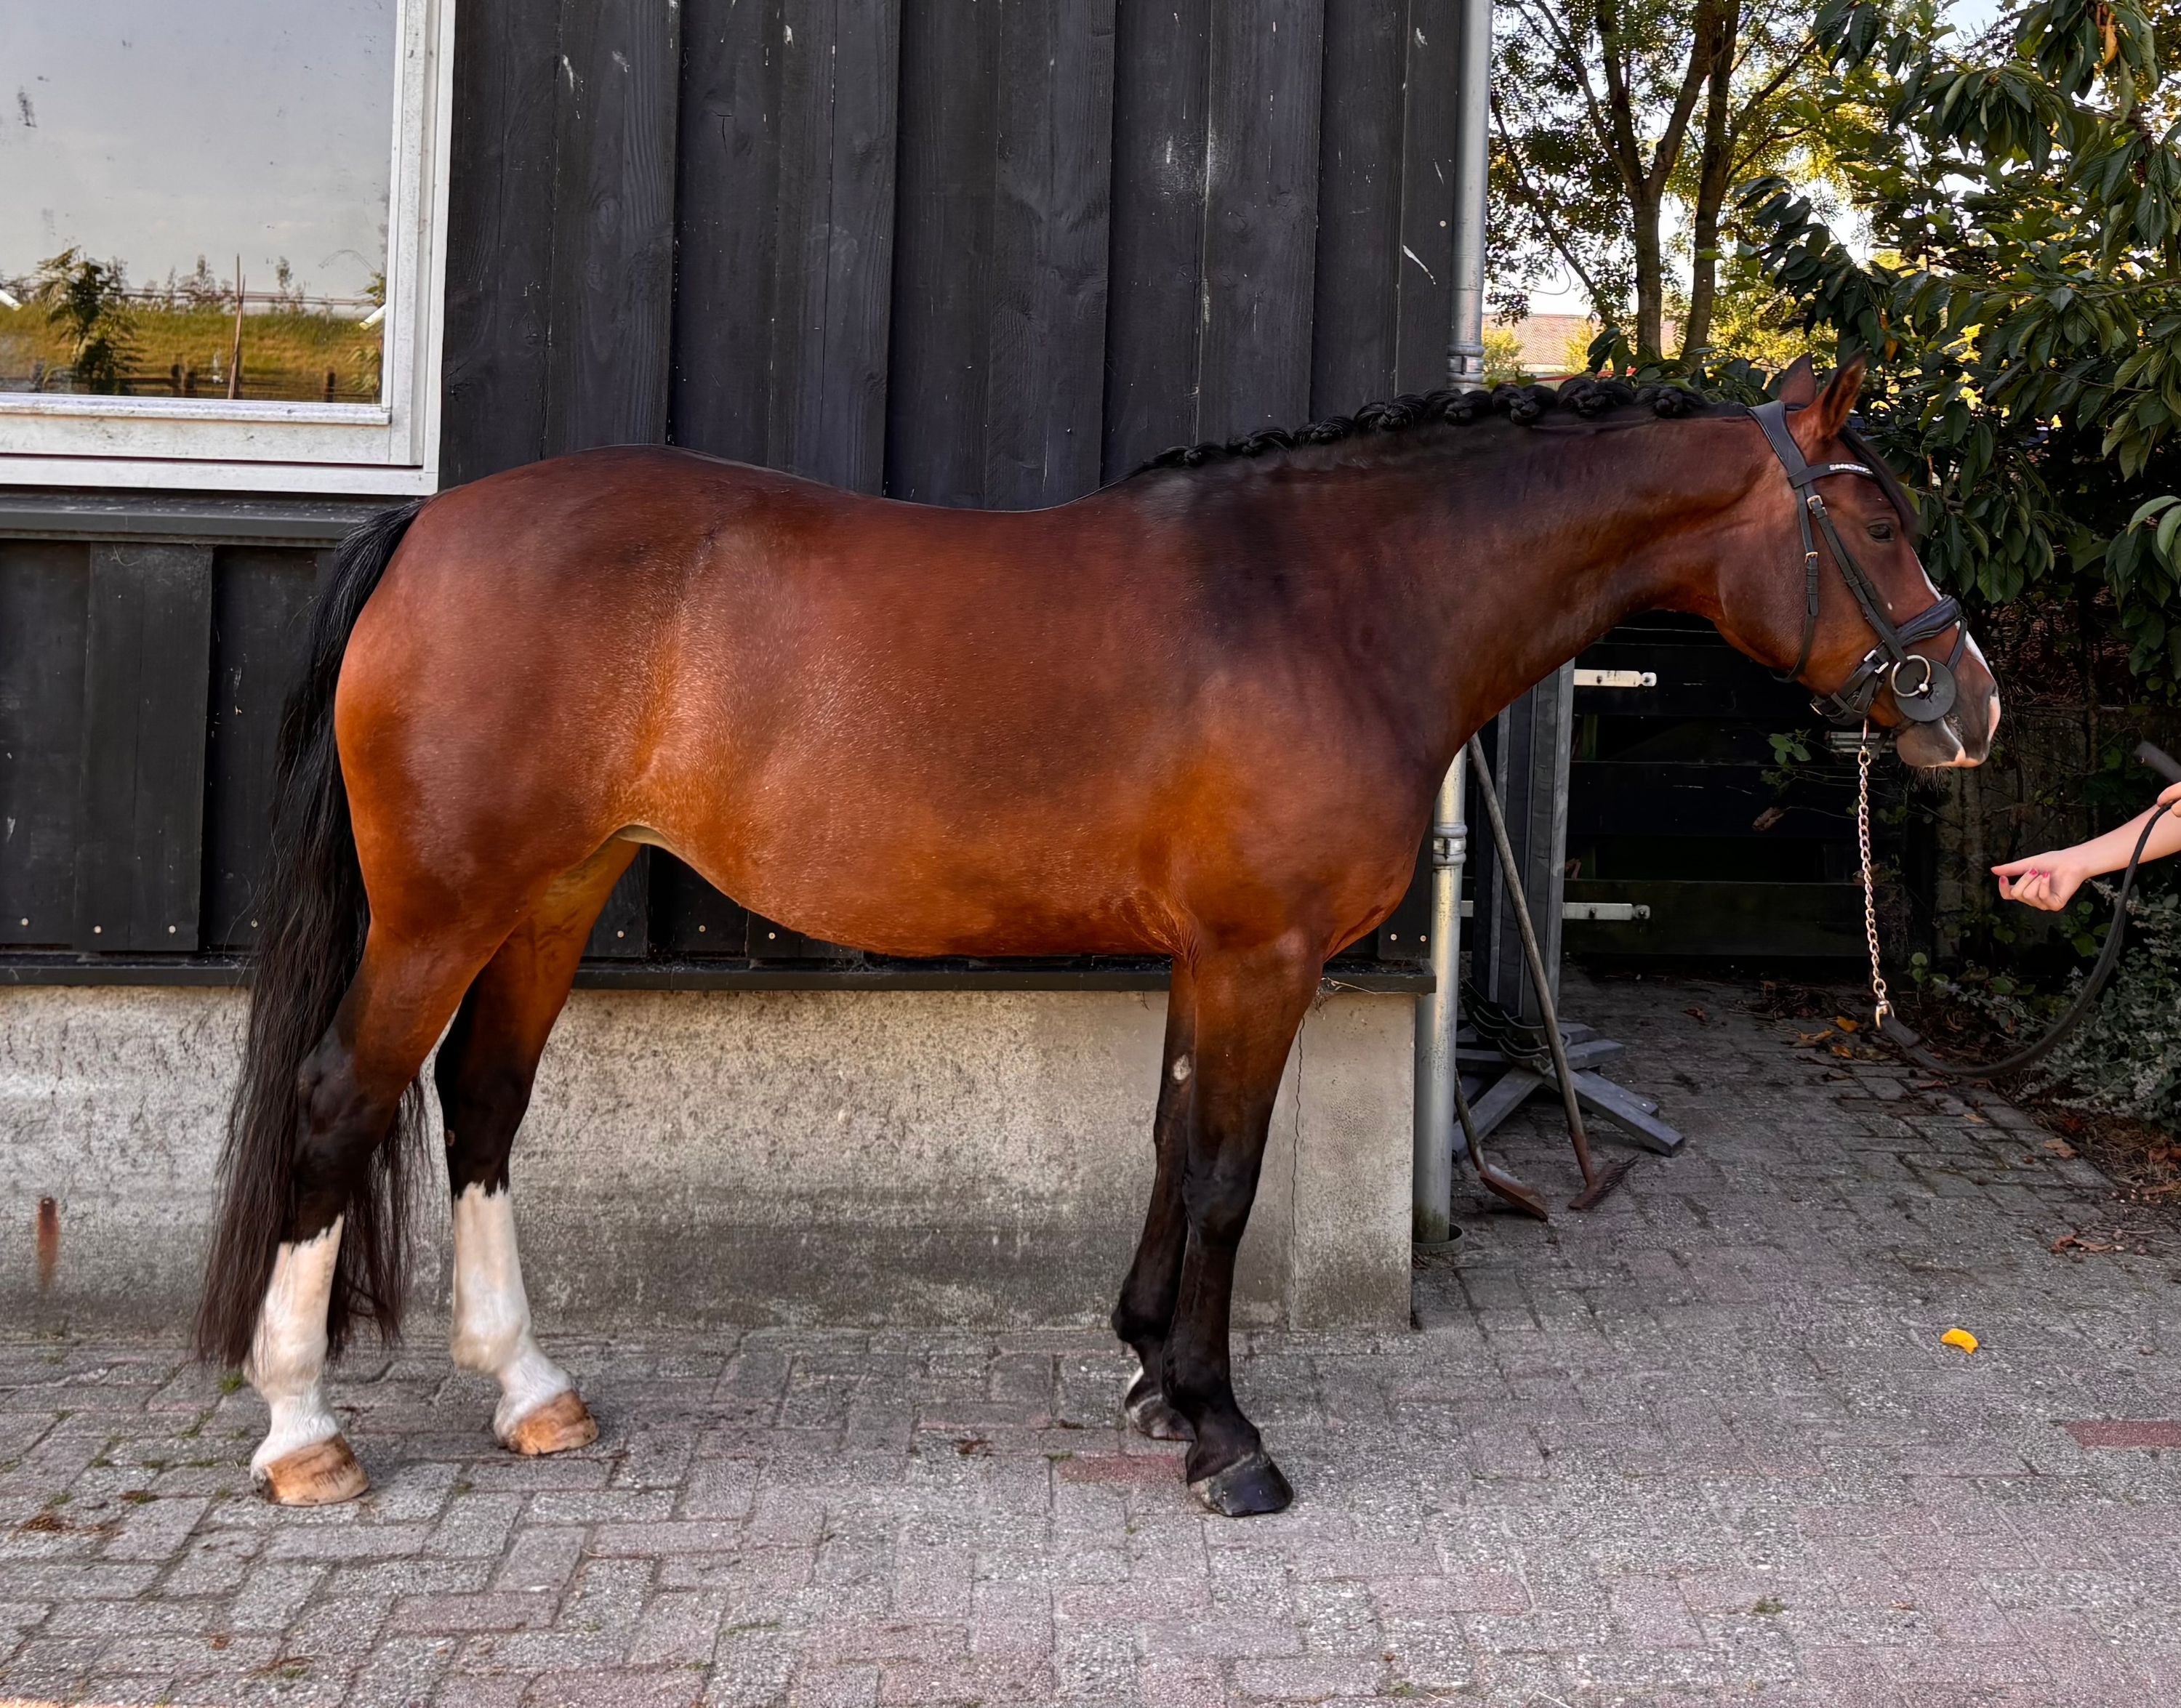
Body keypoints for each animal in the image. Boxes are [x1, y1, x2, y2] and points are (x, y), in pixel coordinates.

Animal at [195, 354, 1997, 1515]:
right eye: (1880, 521)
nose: (1966, 705)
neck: (1335, 602)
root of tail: (432, 527)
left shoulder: (1212, 957)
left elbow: (1170, 1146)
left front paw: (1150, 1371)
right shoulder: (1263, 955)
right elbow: (1227, 1171)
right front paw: (1226, 1431)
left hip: (553, 896)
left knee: (484, 1105)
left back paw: (531, 1390)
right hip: (446, 910)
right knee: (339, 1103)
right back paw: (301, 1429)